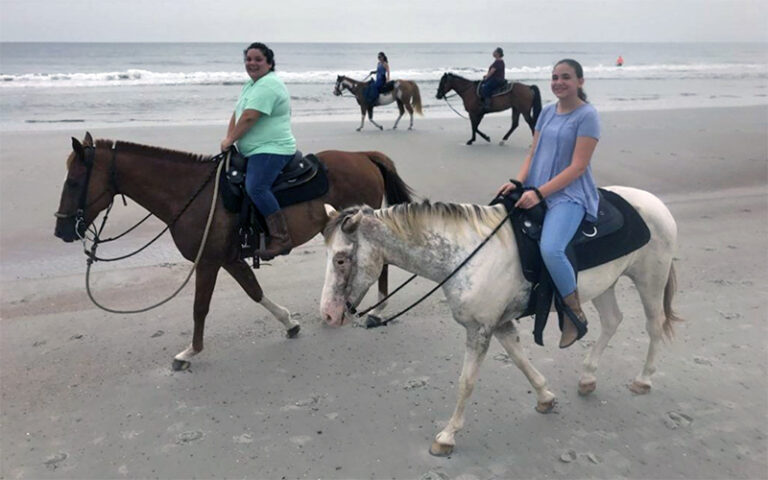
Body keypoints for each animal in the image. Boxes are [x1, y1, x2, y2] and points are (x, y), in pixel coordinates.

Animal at [54, 132, 414, 372]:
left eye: (73, 183)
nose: (61, 231)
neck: (193, 195)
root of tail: (364, 155)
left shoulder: (208, 262)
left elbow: (200, 308)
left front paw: (190, 352)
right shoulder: (229, 259)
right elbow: (254, 291)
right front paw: (289, 323)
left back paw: (379, 310)